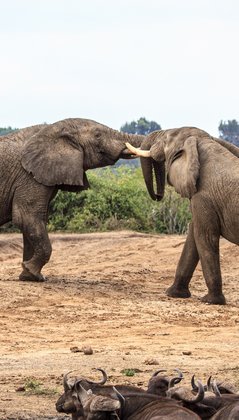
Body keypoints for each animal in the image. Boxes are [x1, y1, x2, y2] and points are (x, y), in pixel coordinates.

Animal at [0, 117, 144, 282]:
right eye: (98, 135)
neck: (54, 129)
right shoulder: (29, 177)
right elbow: (27, 217)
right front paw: (33, 274)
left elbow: (32, 223)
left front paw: (29, 276)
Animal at [125, 126, 239, 304]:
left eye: (165, 140)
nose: (158, 196)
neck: (203, 142)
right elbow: (192, 237)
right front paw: (173, 293)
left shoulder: (203, 197)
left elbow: (204, 237)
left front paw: (211, 300)